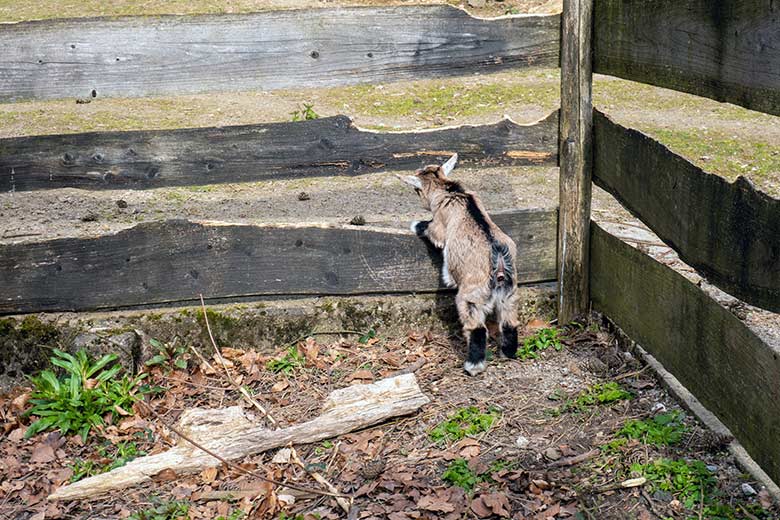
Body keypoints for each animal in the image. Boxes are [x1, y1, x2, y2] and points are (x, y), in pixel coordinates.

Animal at [402, 153, 516, 374]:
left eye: (417, 189)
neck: (451, 191)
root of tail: (498, 260)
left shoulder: (439, 225)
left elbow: (431, 230)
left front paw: (415, 224)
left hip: (470, 296)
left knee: (477, 327)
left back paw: (473, 365)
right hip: (509, 293)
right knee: (509, 321)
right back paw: (508, 353)